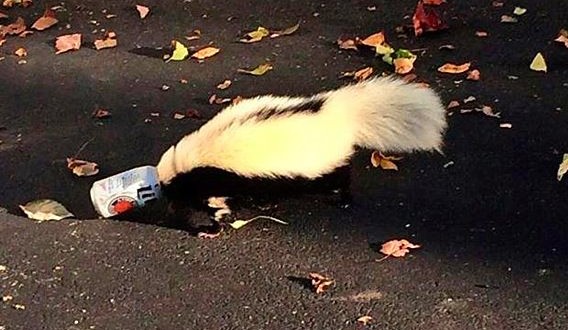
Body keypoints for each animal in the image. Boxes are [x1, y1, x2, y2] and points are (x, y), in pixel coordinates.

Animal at [156, 76, 448, 224]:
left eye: (169, 188)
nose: (166, 205)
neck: (187, 160)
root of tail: (337, 112)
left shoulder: (216, 175)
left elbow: (218, 197)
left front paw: (218, 212)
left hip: (324, 164)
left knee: (340, 176)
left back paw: (343, 198)